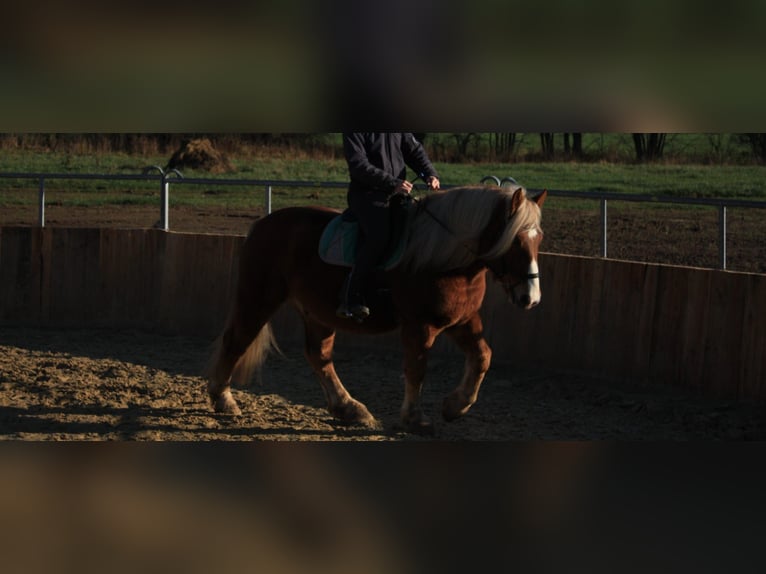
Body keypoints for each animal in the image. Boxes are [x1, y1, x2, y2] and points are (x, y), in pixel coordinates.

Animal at [207, 187, 548, 434]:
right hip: (259, 298)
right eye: (516, 241)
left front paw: (455, 406)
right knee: (236, 341)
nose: (530, 298)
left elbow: (483, 356)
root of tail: (261, 225)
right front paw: (415, 419)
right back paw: (223, 399)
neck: (443, 256)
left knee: (319, 355)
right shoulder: (420, 326)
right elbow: (416, 369)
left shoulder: (461, 320)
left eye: (538, 239)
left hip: (317, 312)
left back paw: (349, 408)